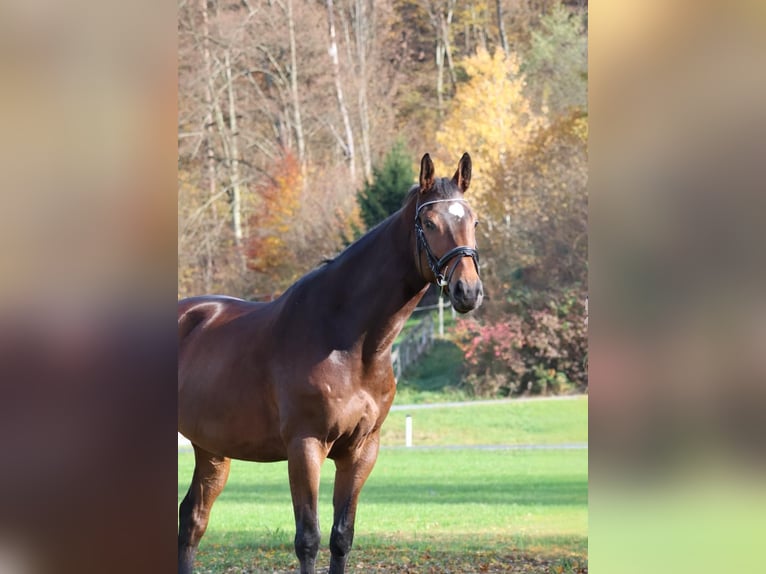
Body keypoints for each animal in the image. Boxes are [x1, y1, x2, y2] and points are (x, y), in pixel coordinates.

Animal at [178, 152, 483, 574]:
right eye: (429, 223)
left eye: (473, 221)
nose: (467, 291)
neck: (349, 343)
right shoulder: (305, 447)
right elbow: (308, 539)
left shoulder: (360, 451)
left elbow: (342, 536)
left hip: (211, 450)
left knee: (192, 520)